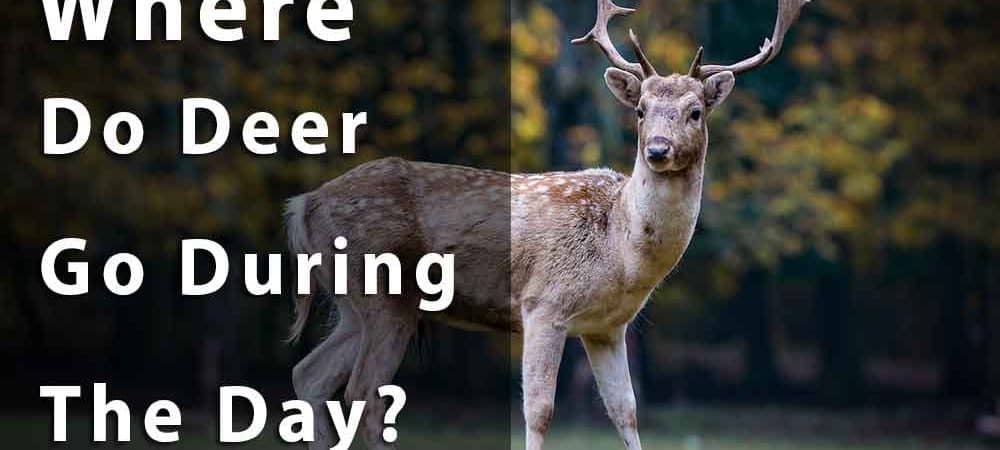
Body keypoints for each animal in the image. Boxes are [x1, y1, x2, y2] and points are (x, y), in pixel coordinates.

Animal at [284, 1, 809, 449]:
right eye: (640, 111)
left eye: (694, 112)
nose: (657, 149)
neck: (620, 251)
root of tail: (303, 204)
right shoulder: (543, 304)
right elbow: (539, 410)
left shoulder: (607, 328)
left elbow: (626, 411)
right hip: (383, 295)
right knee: (362, 394)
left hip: (355, 304)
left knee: (309, 375)